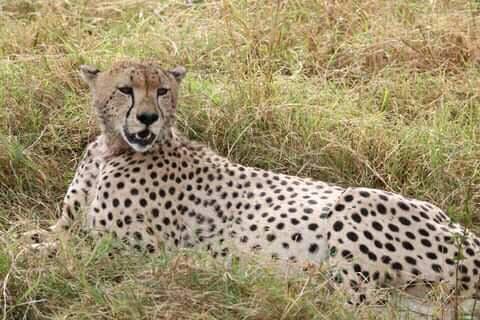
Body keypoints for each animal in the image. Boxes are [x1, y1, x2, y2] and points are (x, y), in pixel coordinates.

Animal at [27, 60, 480, 312]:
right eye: (125, 89)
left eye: (162, 90)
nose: (148, 118)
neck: (112, 149)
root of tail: (459, 226)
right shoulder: (69, 226)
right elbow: (39, 235)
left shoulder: (134, 250)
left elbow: (58, 251)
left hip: (356, 202)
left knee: (352, 304)